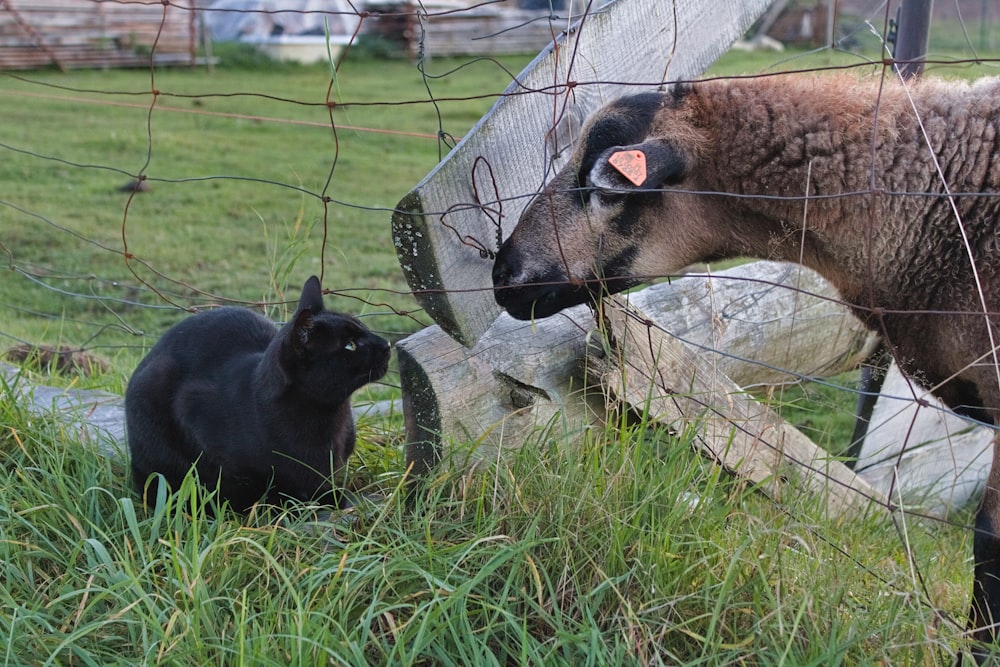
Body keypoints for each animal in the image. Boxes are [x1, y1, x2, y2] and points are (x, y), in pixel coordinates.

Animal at [124, 276, 390, 512]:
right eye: (350, 345)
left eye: (363, 328)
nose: (386, 344)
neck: (326, 418)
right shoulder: (190, 408)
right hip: (154, 387)